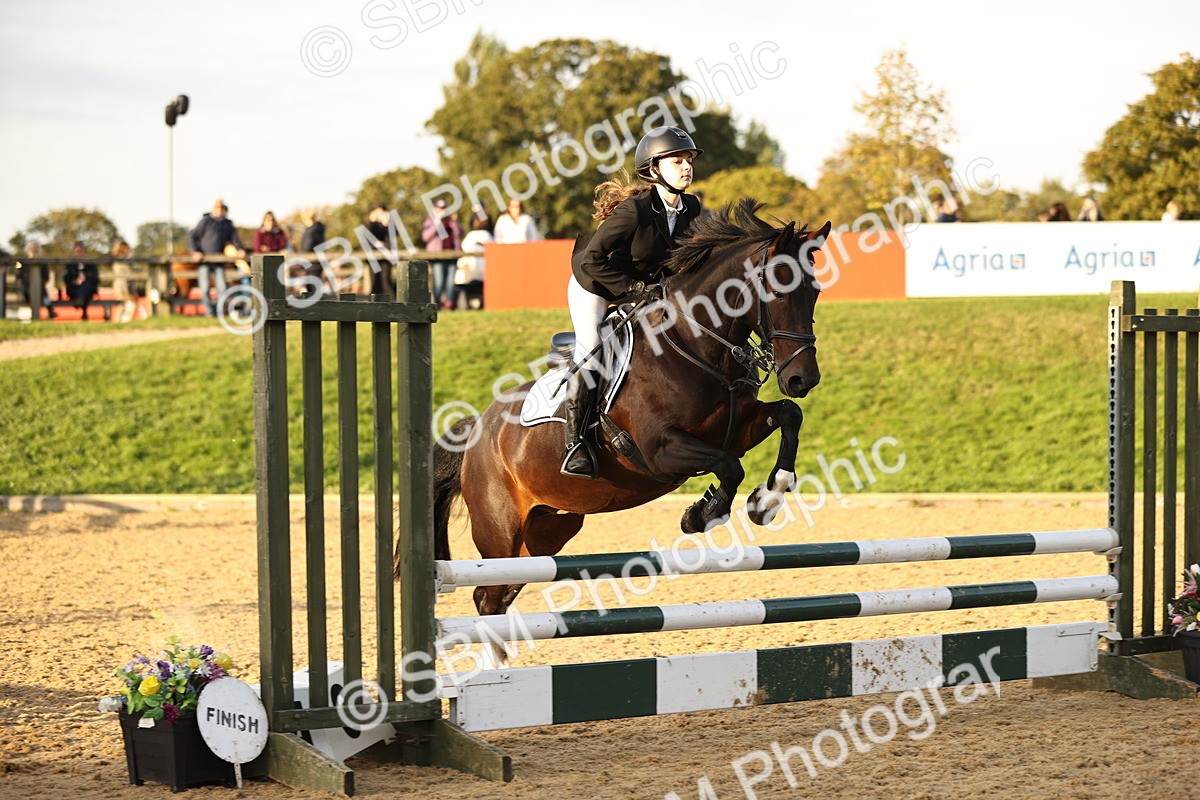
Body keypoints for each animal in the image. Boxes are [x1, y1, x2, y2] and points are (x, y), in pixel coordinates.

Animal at [409, 199, 830, 623]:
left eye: (814, 291)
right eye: (778, 290)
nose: (803, 379)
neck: (695, 345)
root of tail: (479, 426)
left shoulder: (738, 429)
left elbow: (789, 417)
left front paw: (768, 499)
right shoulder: (661, 450)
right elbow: (730, 466)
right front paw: (700, 515)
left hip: (547, 529)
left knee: (501, 592)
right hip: (500, 530)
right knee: (487, 595)